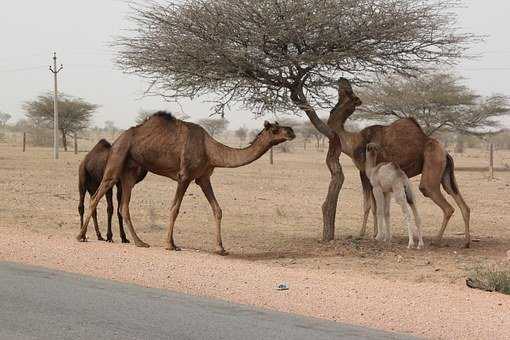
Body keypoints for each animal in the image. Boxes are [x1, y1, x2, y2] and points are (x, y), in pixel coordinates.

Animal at [326, 77, 470, 247]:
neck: (353, 141)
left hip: (432, 163)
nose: (342, 79)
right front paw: (376, 234)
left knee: (441, 201)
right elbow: (375, 206)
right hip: (446, 174)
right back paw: (466, 242)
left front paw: (365, 234)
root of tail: (446, 153)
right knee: (462, 203)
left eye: (348, 92)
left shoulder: (364, 172)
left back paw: (436, 240)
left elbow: (370, 206)